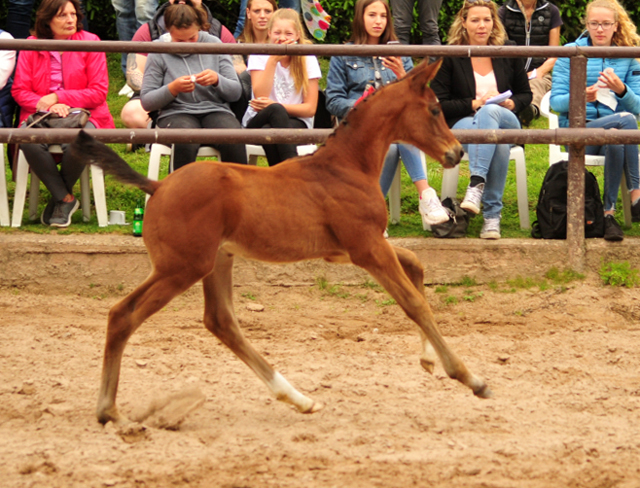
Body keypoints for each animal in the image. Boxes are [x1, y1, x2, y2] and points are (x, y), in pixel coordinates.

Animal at [70, 60, 490, 428]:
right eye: (435, 109)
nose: (456, 152)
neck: (346, 167)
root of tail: (157, 186)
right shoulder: (367, 248)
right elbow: (414, 303)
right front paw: (470, 378)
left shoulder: (352, 250)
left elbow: (416, 265)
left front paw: (428, 361)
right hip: (182, 267)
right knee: (123, 315)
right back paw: (110, 412)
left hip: (216, 260)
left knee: (220, 321)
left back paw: (298, 398)